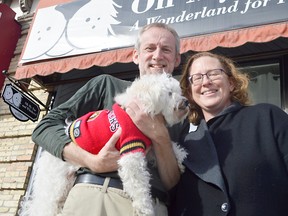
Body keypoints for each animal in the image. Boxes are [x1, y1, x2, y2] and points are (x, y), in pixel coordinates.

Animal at [18, 72, 189, 216]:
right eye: (169, 93)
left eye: (178, 91)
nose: (186, 101)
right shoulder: (131, 151)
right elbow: (138, 185)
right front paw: (144, 207)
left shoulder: (148, 142)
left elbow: (168, 146)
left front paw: (179, 158)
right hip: (55, 183)